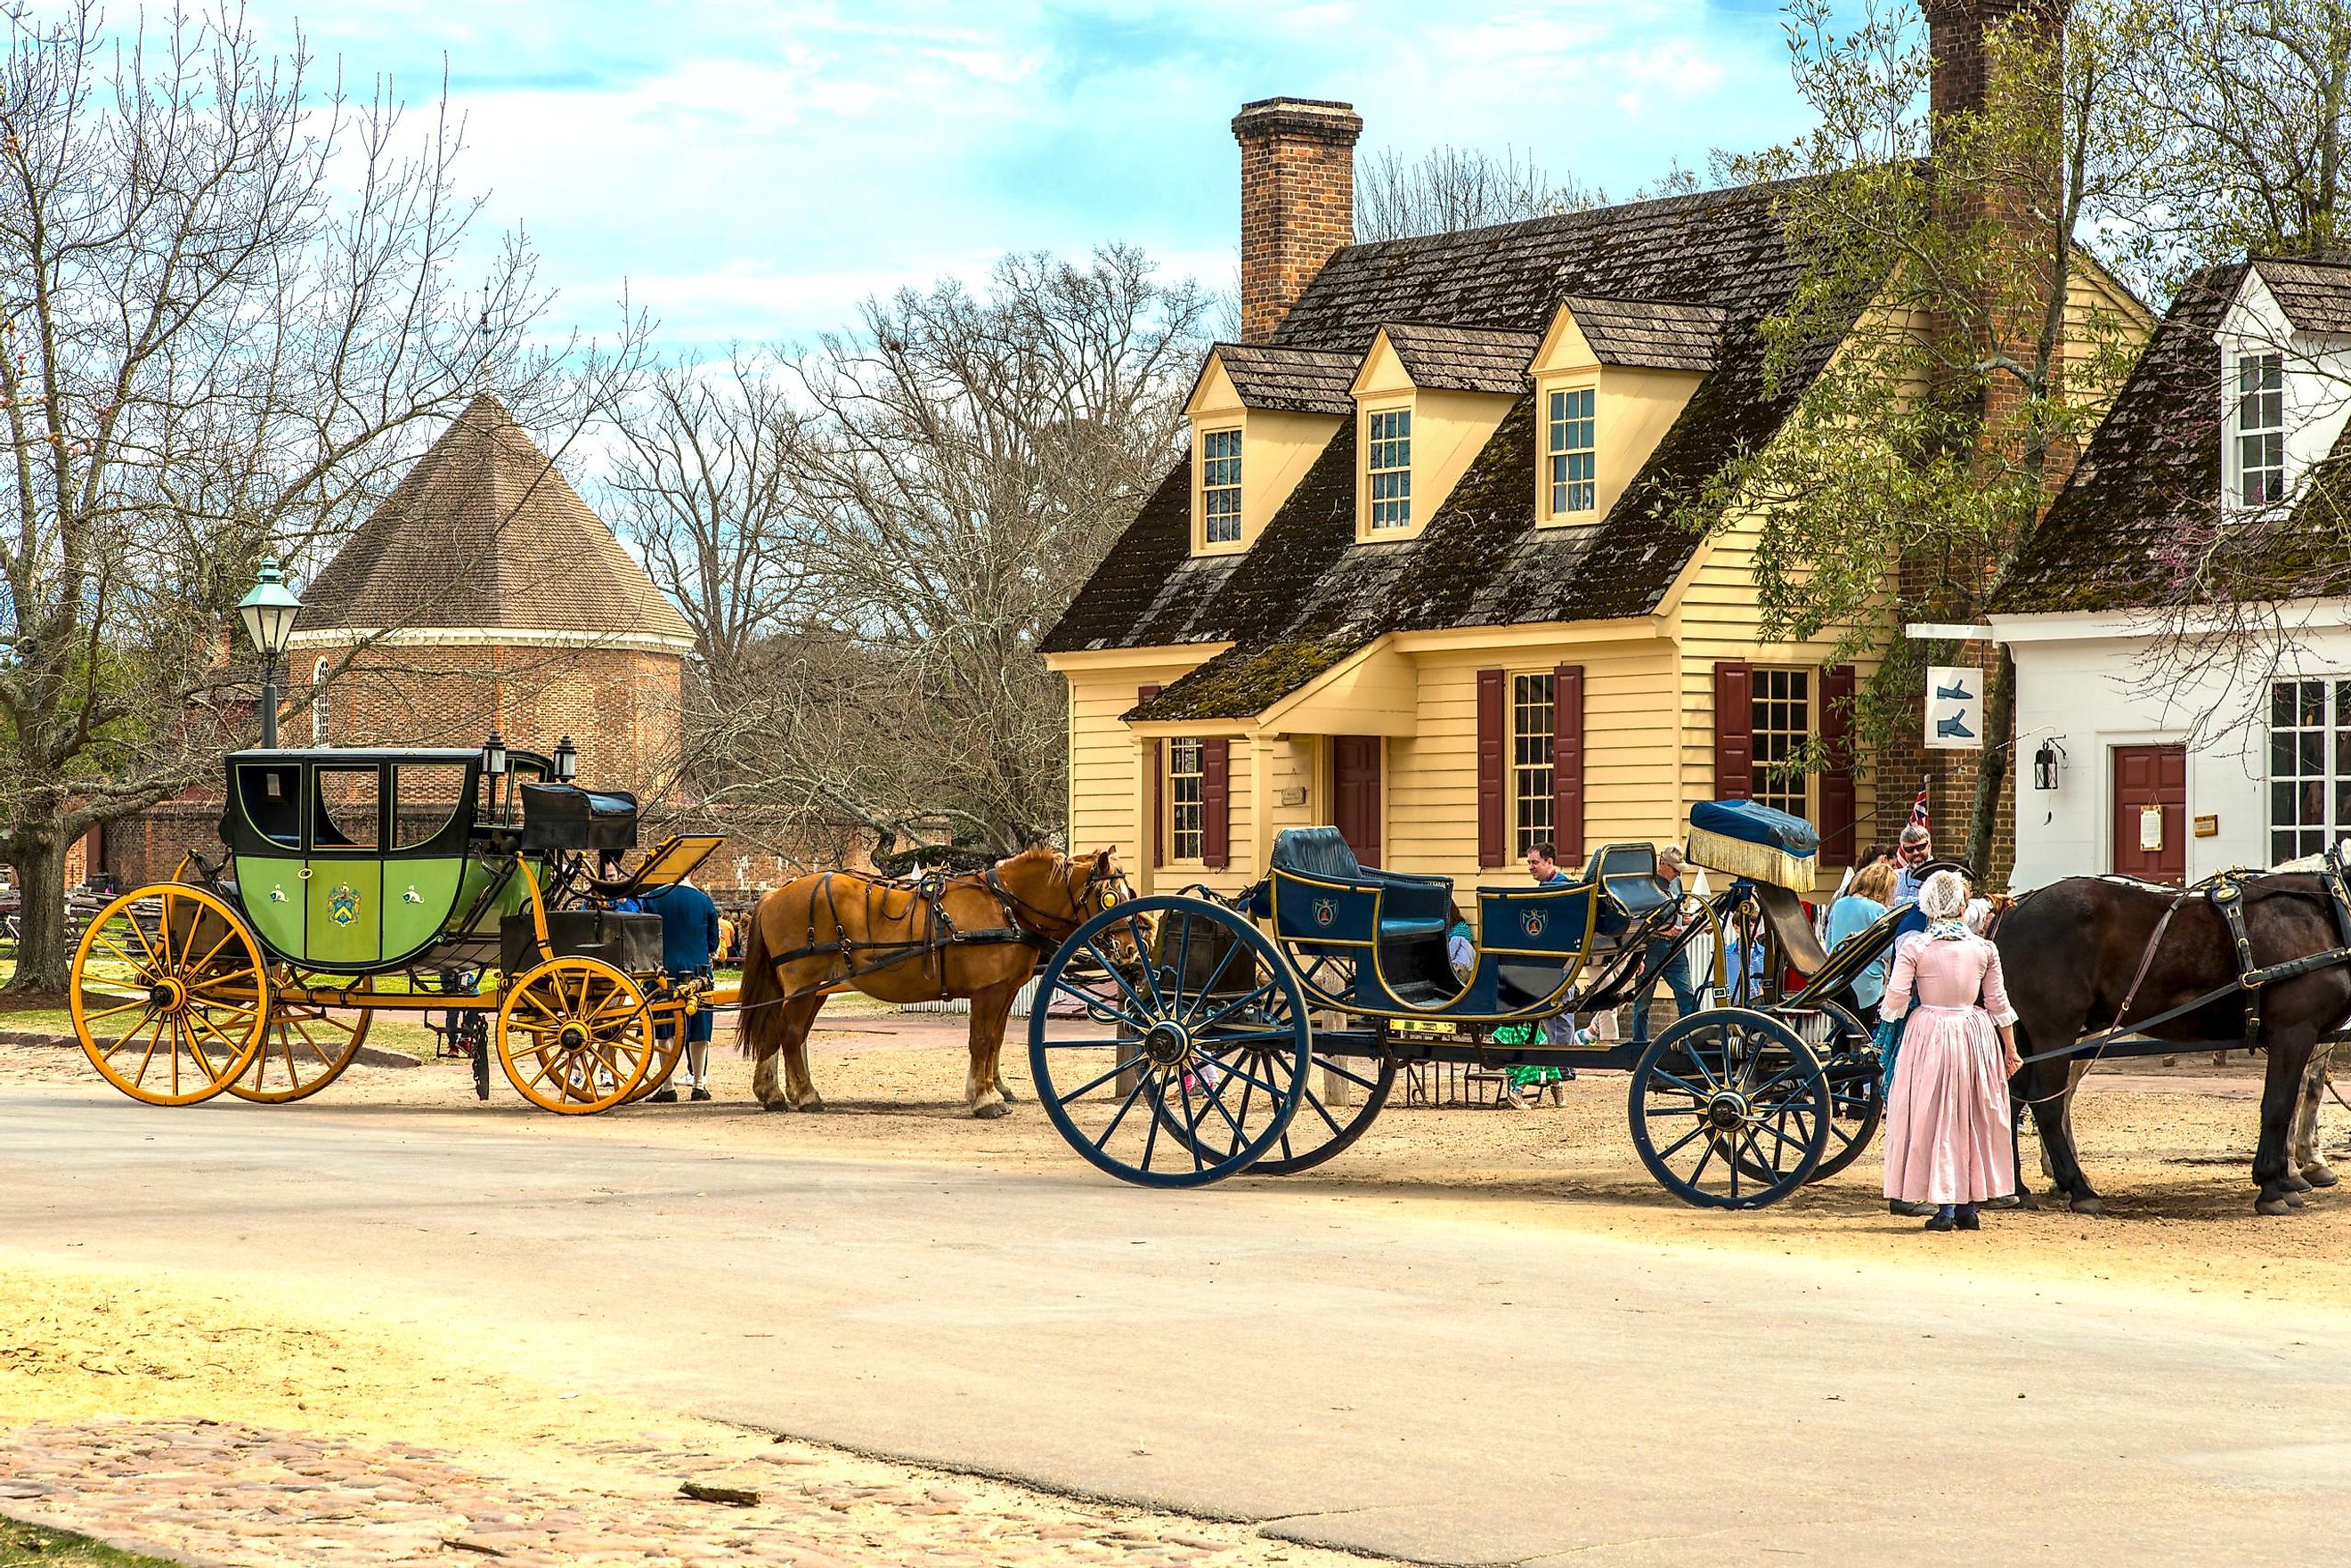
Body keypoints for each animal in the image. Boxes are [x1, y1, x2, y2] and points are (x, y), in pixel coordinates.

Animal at [737, 850, 1133, 1124]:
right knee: (788, 1034)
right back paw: (802, 1095)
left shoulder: (1004, 991)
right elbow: (982, 1042)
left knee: (783, 1034)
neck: (1004, 906)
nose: (1131, 947)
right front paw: (984, 1099)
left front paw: (995, 1091)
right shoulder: (988, 992)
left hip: (812, 990)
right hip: (802, 985)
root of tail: (774, 894)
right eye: (1111, 896)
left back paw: (777, 1092)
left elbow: (995, 1042)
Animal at [2003, 879, 2351, 1222]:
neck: (2323, 912)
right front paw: (2272, 1187)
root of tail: (2017, 908)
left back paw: (2016, 1188)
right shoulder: (2294, 1031)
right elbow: (2279, 1106)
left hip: (2023, 1036)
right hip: (2055, 1031)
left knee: (2012, 1099)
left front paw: (2286, 1178)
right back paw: (2077, 1188)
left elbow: (2294, 1099)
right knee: (2047, 1103)